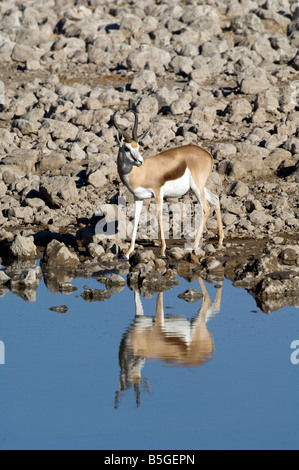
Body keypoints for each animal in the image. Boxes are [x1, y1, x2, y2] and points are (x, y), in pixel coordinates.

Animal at [113, 109, 225, 258]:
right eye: (127, 148)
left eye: (138, 147)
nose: (140, 161)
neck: (141, 172)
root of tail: (207, 154)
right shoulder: (138, 197)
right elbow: (136, 218)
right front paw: (127, 252)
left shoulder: (158, 192)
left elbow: (159, 214)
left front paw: (162, 250)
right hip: (199, 187)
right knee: (215, 199)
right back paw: (220, 240)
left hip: (197, 187)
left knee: (206, 207)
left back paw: (194, 245)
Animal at [116, 280, 224, 408]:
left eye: (141, 360)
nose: (139, 358)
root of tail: (209, 353)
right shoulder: (139, 316)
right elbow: (137, 297)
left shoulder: (158, 322)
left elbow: (159, 299)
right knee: (214, 305)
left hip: (197, 324)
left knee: (208, 298)